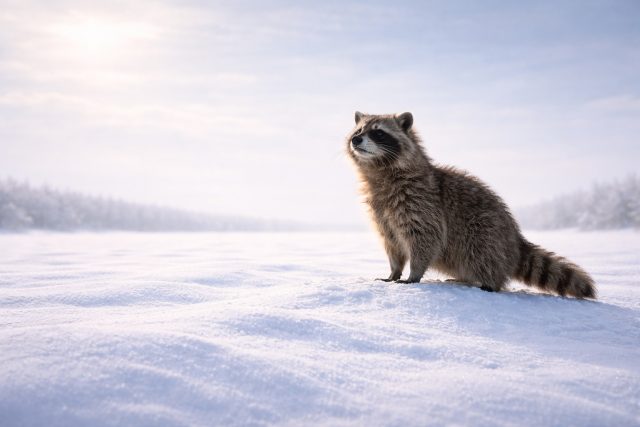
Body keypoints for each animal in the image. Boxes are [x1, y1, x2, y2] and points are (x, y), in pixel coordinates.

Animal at [346, 111, 596, 299]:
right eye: (358, 131)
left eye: (378, 132)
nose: (356, 140)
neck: (379, 171)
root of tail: (515, 238)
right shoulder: (382, 213)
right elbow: (392, 244)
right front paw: (394, 271)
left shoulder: (420, 202)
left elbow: (426, 238)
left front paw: (413, 274)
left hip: (486, 232)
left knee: (481, 252)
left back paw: (489, 282)